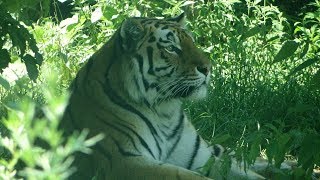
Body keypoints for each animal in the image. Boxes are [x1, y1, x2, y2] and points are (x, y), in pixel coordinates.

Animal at [60, 13, 264, 180]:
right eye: (172, 48)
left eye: (193, 43)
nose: (208, 68)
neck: (164, 111)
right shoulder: (125, 162)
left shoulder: (202, 157)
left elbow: (245, 172)